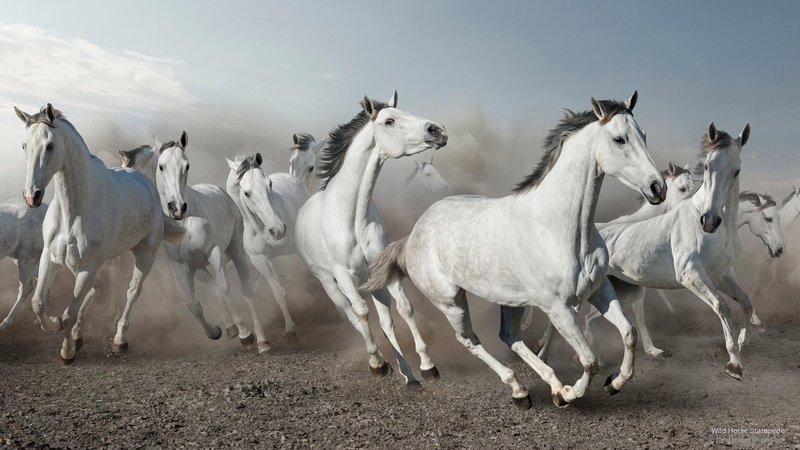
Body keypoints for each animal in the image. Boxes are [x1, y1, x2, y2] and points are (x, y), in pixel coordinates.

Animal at [15, 104, 165, 364]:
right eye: (25, 145)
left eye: (50, 145)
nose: (32, 196)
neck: (73, 211)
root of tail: (146, 183)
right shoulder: (50, 258)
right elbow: (38, 303)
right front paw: (54, 324)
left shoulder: (87, 267)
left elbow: (70, 313)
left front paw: (67, 352)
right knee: (97, 290)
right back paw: (80, 334)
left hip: (145, 255)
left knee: (132, 292)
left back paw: (120, 339)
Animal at [225, 153, 309, 339]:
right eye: (247, 193)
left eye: (269, 183)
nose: (278, 230)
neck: (259, 228)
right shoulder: (260, 260)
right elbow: (278, 293)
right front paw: (289, 328)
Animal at [294, 91, 447, 387]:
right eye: (389, 120)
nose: (438, 130)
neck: (354, 217)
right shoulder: (343, 276)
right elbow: (362, 313)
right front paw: (377, 364)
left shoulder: (384, 271)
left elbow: (404, 309)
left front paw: (427, 366)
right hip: (327, 281)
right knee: (350, 312)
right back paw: (381, 361)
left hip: (373, 283)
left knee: (386, 321)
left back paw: (407, 372)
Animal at [365, 91, 667, 408]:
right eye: (620, 139)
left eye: (644, 135)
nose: (658, 188)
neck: (559, 228)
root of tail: (414, 234)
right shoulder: (557, 308)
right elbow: (590, 360)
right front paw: (570, 394)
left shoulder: (600, 291)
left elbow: (629, 334)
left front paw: (614, 383)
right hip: (450, 301)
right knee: (470, 339)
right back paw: (518, 389)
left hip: (510, 301)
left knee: (509, 336)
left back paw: (544, 386)